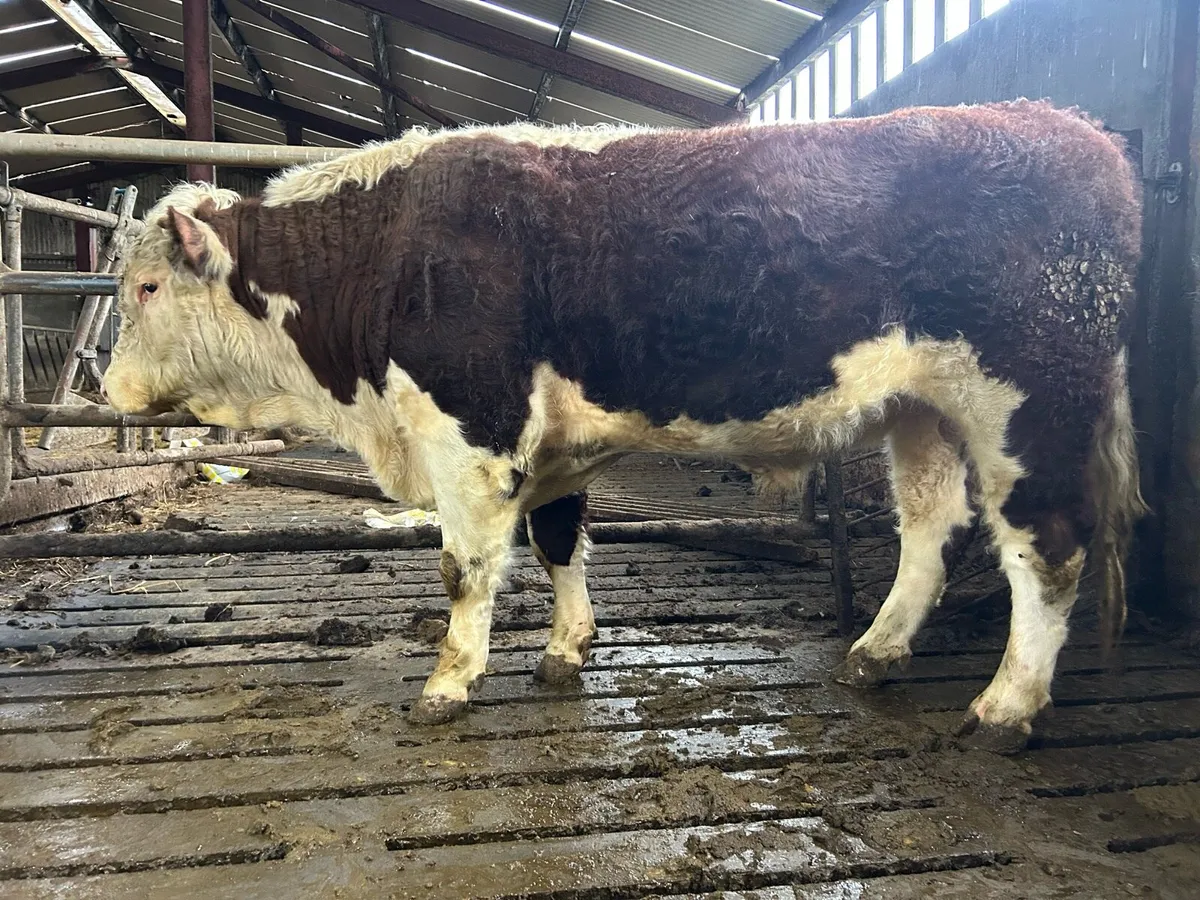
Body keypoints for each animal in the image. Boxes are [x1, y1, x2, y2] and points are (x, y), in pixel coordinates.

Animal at [102, 100, 1145, 753]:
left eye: (146, 287)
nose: (109, 389)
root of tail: (1067, 127)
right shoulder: (551, 445)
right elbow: (559, 541)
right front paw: (566, 651)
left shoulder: (470, 426)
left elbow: (465, 566)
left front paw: (450, 682)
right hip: (921, 410)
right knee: (932, 527)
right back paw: (873, 655)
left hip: (1027, 402)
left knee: (1047, 546)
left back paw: (1006, 707)